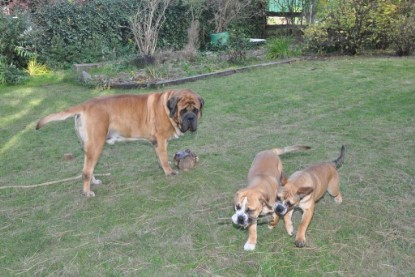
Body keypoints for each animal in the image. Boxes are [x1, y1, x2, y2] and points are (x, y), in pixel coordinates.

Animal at [37, 88, 205, 196]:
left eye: (195, 110)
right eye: (183, 111)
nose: (191, 118)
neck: (167, 109)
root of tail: (84, 105)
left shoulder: (159, 143)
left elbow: (160, 157)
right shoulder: (161, 140)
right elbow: (163, 158)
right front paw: (169, 172)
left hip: (89, 147)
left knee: (88, 169)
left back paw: (94, 182)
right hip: (96, 145)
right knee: (86, 171)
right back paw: (87, 192)